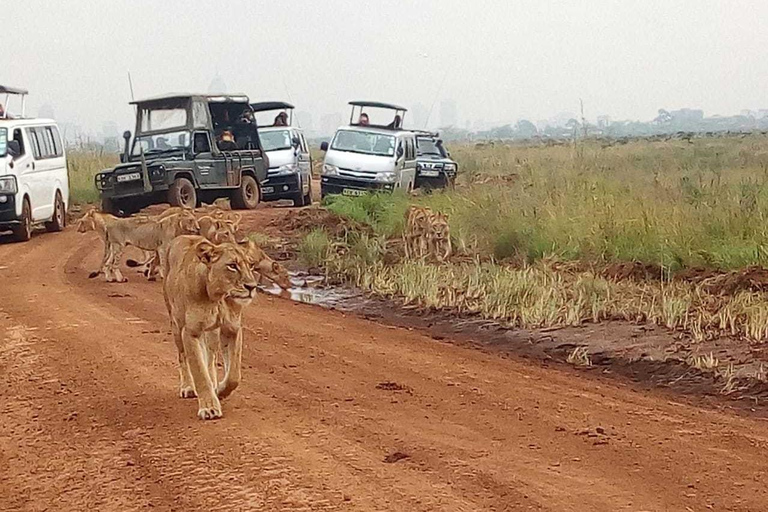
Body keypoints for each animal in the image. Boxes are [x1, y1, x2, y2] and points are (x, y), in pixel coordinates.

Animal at [163, 236, 292, 420]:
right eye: (232, 265)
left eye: (251, 265)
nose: (251, 287)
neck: (218, 296)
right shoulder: (190, 332)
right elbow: (199, 372)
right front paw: (209, 407)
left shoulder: (232, 329)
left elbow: (234, 375)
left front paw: (220, 391)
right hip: (176, 324)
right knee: (183, 357)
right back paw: (188, 387)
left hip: (211, 333)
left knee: (210, 358)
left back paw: (214, 383)